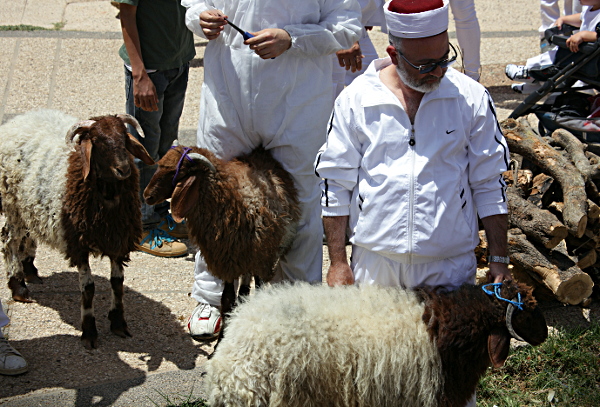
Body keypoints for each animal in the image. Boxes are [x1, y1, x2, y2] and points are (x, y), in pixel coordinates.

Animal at [0, 110, 155, 350]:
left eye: (124, 138)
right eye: (98, 142)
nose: (124, 169)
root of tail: (21, 118)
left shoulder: (117, 239)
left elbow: (117, 283)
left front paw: (118, 323)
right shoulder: (78, 244)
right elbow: (88, 288)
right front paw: (89, 331)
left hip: (28, 206)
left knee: (27, 233)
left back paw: (29, 269)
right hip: (12, 202)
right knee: (10, 240)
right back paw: (18, 286)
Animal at [141, 145, 300, 346]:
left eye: (176, 172)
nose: (147, 196)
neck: (230, 203)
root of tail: (261, 153)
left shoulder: (259, 257)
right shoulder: (226, 261)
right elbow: (227, 300)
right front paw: (221, 342)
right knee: (245, 287)